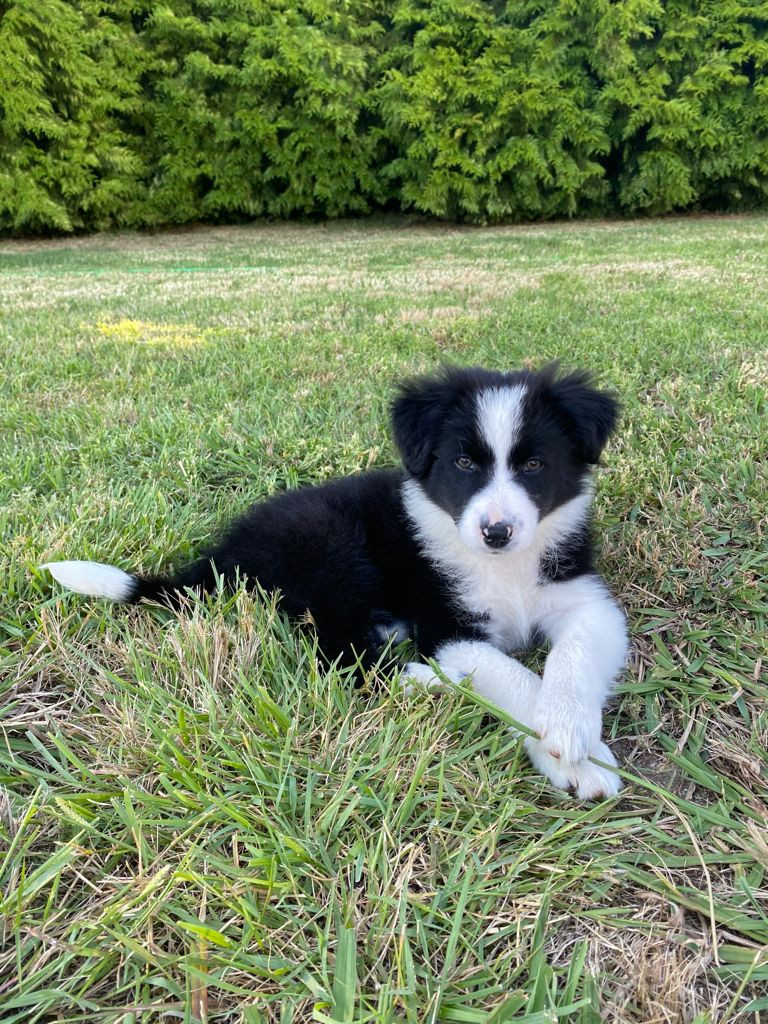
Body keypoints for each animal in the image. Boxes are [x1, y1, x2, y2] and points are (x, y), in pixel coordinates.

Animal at [41, 366, 626, 798]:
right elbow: (512, 676)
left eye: (534, 465)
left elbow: (572, 654)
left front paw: (570, 727)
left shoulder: (582, 596)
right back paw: (426, 680)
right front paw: (573, 754)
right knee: (336, 654)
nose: (497, 532)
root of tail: (226, 552)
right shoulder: (446, 624)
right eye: (463, 462)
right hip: (332, 548)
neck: (503, 568)